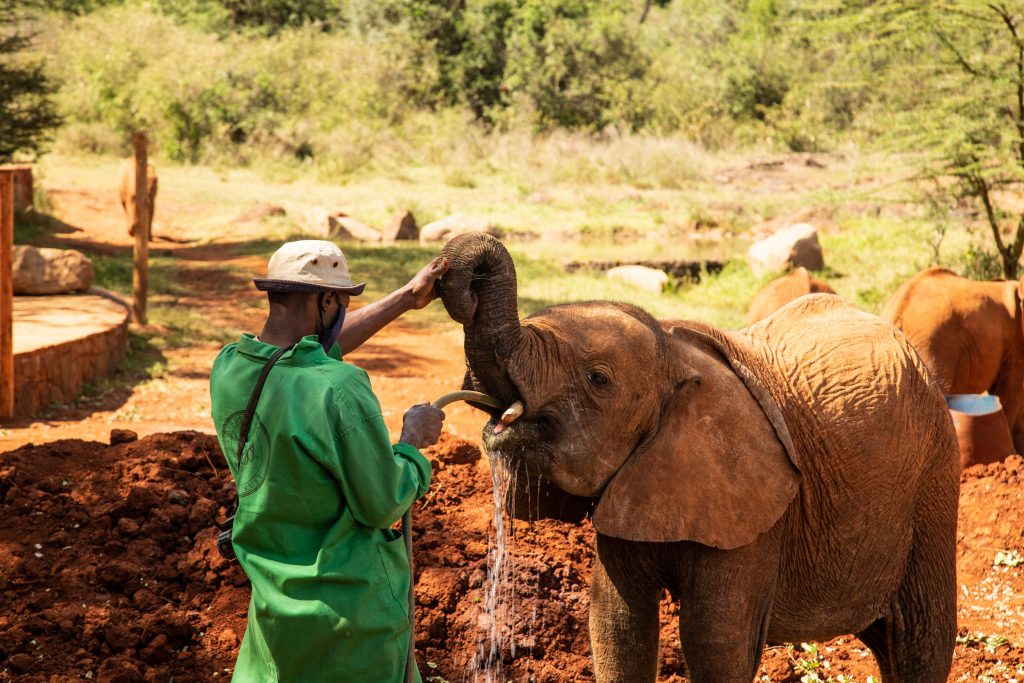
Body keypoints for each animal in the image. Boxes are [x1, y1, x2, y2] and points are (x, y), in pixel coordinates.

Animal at [434, 235, 958, 683]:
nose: (443, 274)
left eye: (598, 379)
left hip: (934, 478)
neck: (675, 354)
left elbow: (715, 641)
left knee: (921, 636)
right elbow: (617, 624)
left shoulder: (755, 514)